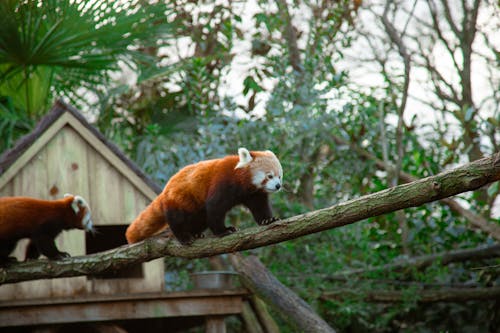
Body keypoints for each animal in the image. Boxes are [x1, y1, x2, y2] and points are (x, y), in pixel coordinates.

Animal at [125, 148, 284, 244]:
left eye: (279, 176)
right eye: (269, 176)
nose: (278, 186)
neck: (242, 182)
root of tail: (165, 190)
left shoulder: (253, 193)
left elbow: (259, 206)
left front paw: (268, 220)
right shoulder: (223, 183)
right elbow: (215, 207)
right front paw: (223, 230)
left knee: (201, 218)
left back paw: (195, 233)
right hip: (179, 199)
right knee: (177, 218)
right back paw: (184, 236)